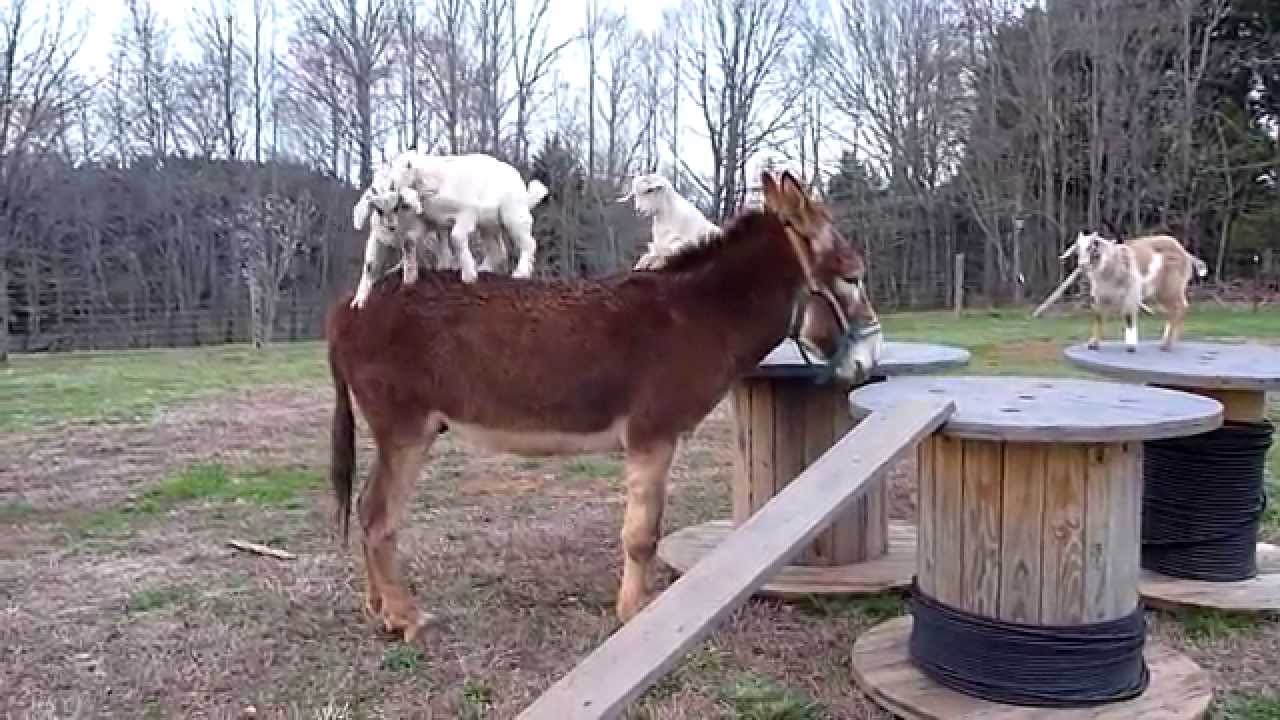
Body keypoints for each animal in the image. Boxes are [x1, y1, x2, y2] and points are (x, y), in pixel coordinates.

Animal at [352, 151, 548, 308]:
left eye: (407, 167)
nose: (390, 185)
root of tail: (523, 189)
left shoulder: (466, 212)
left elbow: (456, 237)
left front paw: (468, 275)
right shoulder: (435, 219)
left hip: (513, 213)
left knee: (528, 242)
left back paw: (520, 273)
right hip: (489, 223)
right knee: (498, 250)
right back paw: (485, 268)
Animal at [1062, 230, 1209, 352]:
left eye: (1091, 248)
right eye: (1077, 249)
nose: (1082, 265)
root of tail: (1185, 253)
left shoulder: (1130, 293)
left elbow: (1128, 317)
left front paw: (1131, 346)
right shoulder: (1101, 296)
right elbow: (1099, 317)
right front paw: (1093, 344)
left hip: (1169, 287)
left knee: (1180, 307)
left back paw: (1166, 345)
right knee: (1178, 308)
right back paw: (1166, 341)